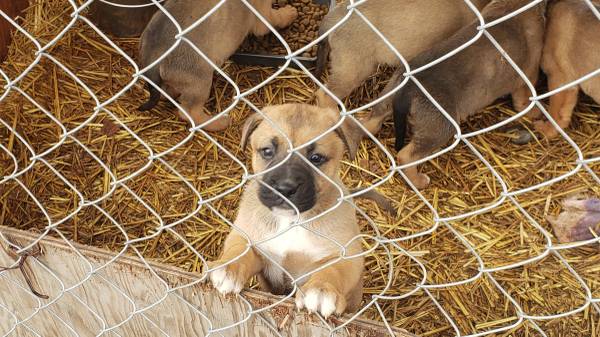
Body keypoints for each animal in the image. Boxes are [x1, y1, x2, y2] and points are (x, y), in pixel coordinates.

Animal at [140, 0, 298, 131]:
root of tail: (154, 55)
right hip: (200, 83)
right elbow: (277, 18)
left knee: (167, 93)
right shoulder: (263, 15)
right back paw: (220, 122)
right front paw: (290, 13)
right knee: (190, 113)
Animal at [206, 103, 366, 316]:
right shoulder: (251, 241)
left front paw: (322, 289)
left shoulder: (348, 255)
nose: (285, 188)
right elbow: (239, 250)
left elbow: (333, 270)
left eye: (316, 158)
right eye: (267, 151)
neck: (290, 220)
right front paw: (228, 267)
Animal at [368, 0, 548, 189]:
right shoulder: (526, 80)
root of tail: (409, 88)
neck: (515, 5)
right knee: (406, 156)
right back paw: (419, 182)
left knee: (372, 122)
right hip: (440, 127)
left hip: (389, 95)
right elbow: (527, 103)